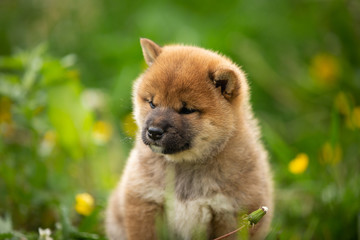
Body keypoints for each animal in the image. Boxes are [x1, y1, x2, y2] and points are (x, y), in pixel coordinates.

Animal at [105, 38, 274, 239]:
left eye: (187, 110)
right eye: (152, 103)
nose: (154, 132)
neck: (186, 166)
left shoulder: (231, 215)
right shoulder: (143, 203)